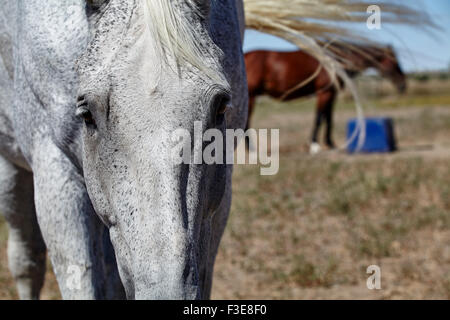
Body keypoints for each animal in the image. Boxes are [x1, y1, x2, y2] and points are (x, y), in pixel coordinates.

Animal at [246, 43, 408, 152]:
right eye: (394, 61)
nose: (403, 85)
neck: (335, 60)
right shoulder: (324, 93)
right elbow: (319, 118)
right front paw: (314, 145)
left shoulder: (332, 94)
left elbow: (329, 119)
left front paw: (330, 144)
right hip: (251, 97)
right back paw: (251, 149)